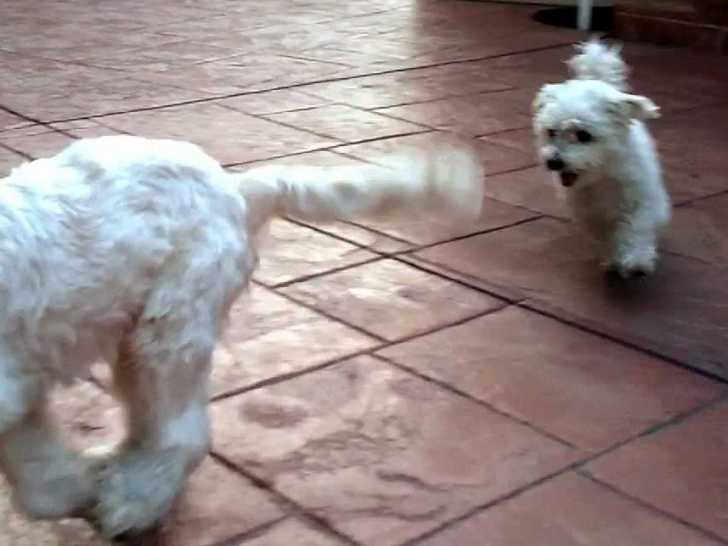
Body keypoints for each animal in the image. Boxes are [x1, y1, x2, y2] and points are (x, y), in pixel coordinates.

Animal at [0, 135, 484, 541]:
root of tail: (236, 188)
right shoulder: (19, 390)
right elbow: (37, 468)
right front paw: (73, 487)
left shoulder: (8, 387)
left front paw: (80, 490)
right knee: (151, 421)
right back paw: (118, 472)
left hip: (171, 327)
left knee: (183, 432)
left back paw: (135, 500)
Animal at [532, 40, 671, 279]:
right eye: (551, 132)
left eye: (583, 135)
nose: (554, 162)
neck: (602, 176)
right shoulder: (590, 214)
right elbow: (605, 236)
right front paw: (612, 258)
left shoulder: (639, 200)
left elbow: (635, 227)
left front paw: (636, 259)